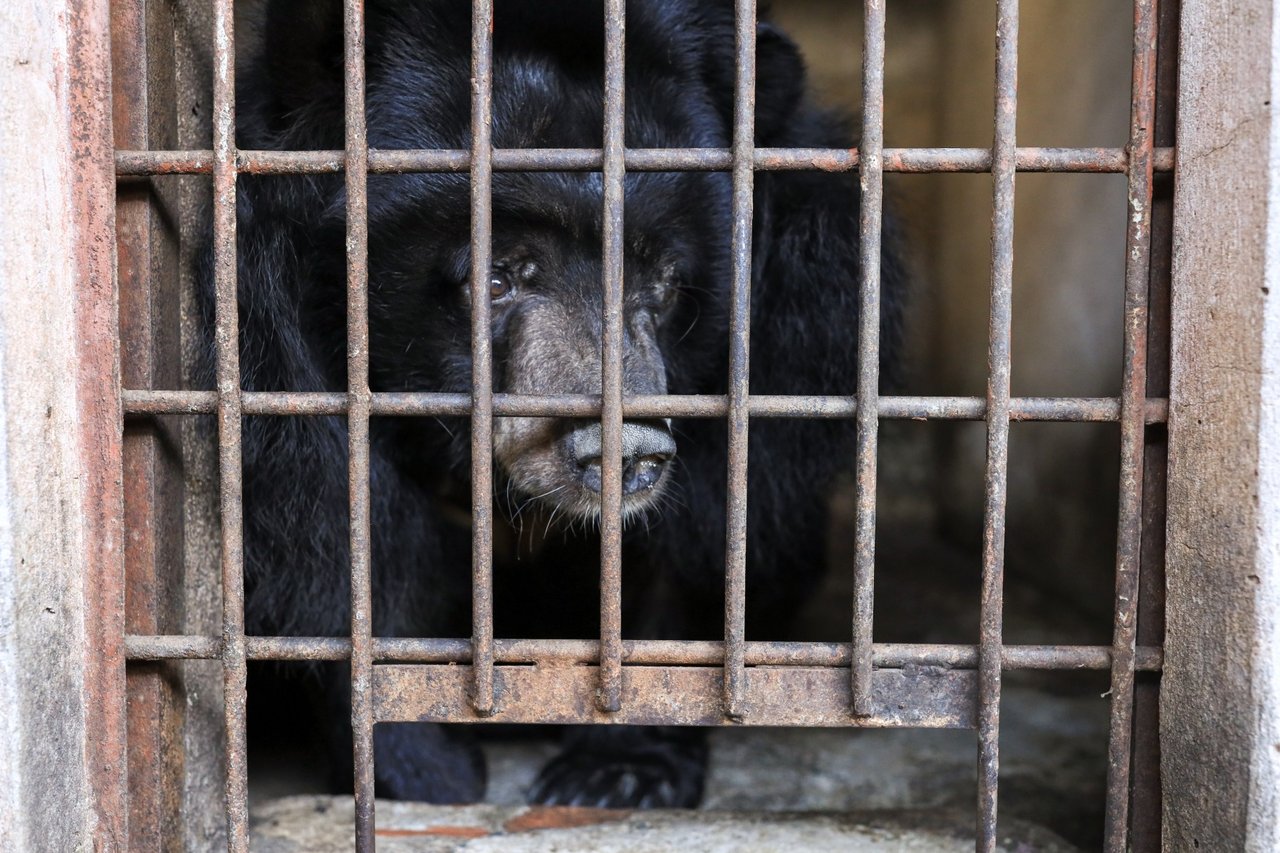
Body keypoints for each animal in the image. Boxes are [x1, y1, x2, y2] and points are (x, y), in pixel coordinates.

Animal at [209, 0, 906, 809]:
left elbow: (703, 541)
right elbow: (343, 542)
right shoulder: (274, 344)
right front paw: (422, 773)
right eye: (497, 277)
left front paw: (618, 772)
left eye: (664, 279)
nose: (627, 451)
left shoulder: (794, 323)